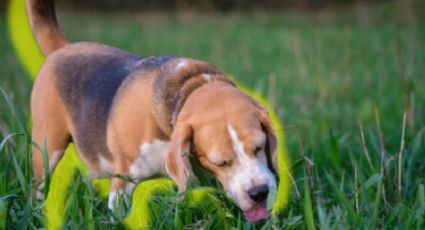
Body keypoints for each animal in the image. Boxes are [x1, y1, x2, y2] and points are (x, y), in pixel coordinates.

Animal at [26, 0, 278, 223]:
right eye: (221, 163)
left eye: (260, 147)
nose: (259, 193)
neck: (188, 88)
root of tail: (64, 48)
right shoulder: (123, 177)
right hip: (47, 147)